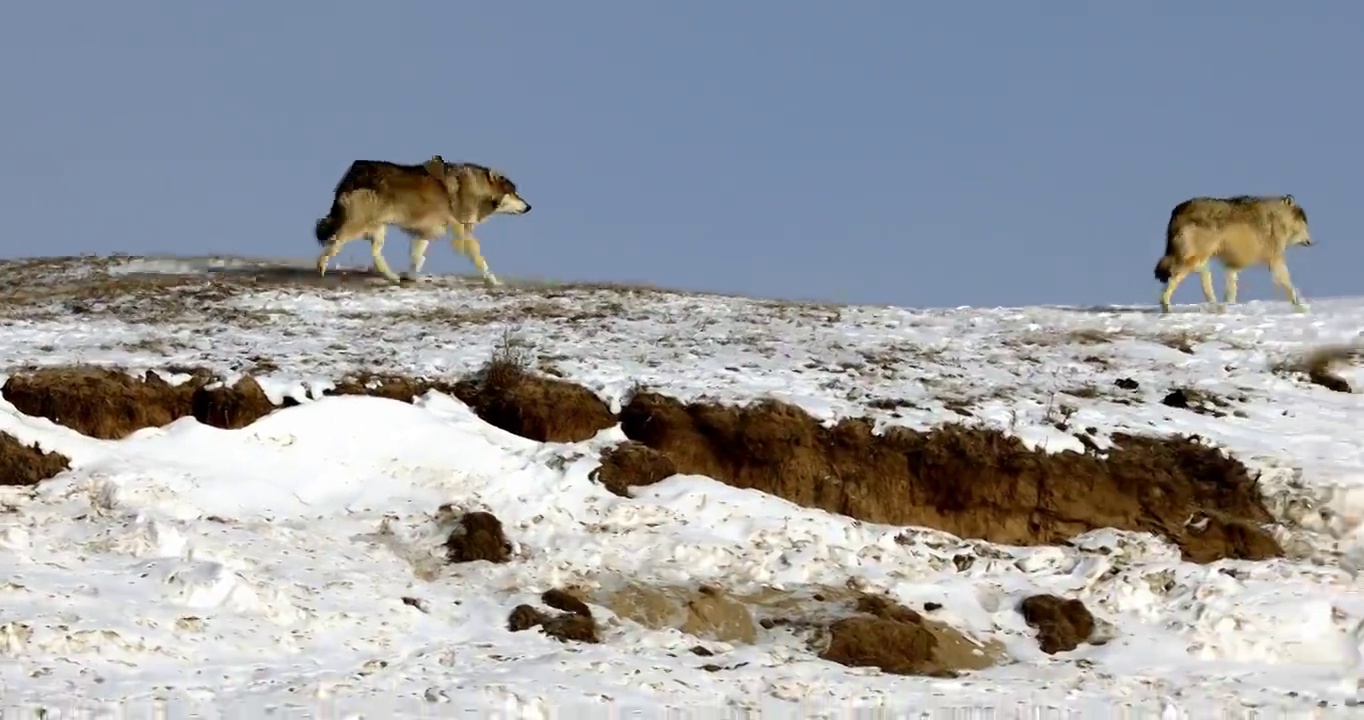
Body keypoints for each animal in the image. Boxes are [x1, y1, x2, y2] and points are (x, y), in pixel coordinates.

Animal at [313, 156, 531, 285]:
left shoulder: (425, 233)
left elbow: (417, 259)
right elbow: (479, 258)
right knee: (336, 241)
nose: (529, 207)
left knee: (375, 254)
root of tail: (353, 170)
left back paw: (393, 277)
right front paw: (494, 280)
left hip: (379, 230)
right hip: (358, 226)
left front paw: (410, 278)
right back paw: (321, 267)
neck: (475, 190)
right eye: (515, 193)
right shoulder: (461, 231)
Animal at [1151, 193, 1309, 312]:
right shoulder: (1275, 258)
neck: (1278, 219)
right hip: (1195, 258)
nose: (1310, 242)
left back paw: (1215, 305)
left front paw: (1231, 306)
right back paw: (1166, 305)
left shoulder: (1232, 265)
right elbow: (1288, 283)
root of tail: (1177, 211)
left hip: (1202, 260)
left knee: (1204, 280)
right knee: (1175, 277)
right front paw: (1300, 305)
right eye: (1304, 222)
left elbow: (1231, 289)